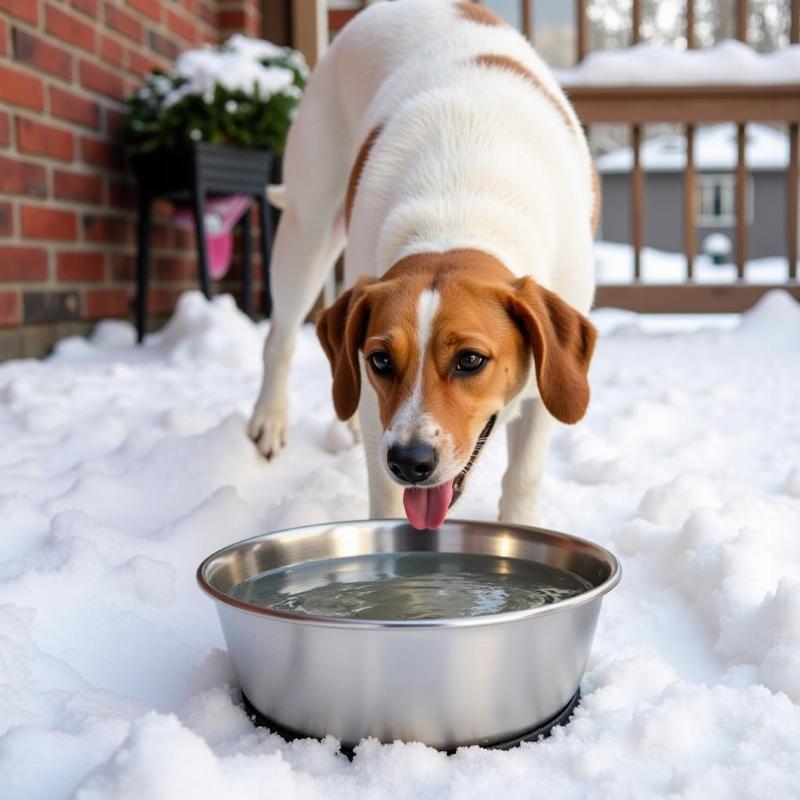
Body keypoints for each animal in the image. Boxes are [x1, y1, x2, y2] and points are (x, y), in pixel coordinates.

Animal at [247, 1, 596, 532]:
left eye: (470, 360)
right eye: (381, 360)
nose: (410, 462)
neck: (458, 213)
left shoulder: (552, 380)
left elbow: (523, 477)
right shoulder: (375, 396)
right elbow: (384, 492)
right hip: (306, 229)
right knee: (281, 340)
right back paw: (269, 418)